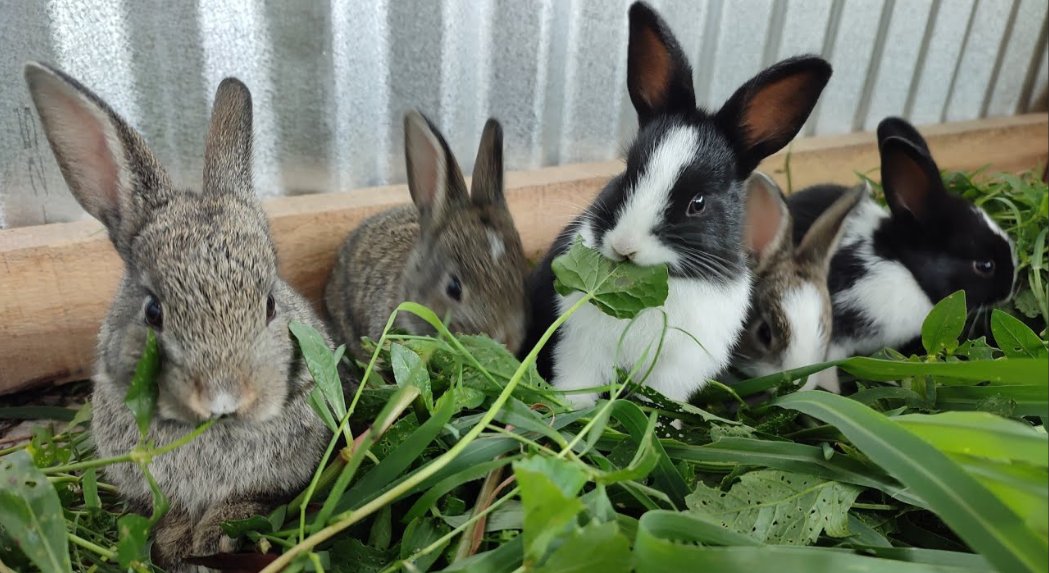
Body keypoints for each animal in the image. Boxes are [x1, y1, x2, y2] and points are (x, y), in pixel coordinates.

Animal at [24, 62, 332, 571]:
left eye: (269, 304)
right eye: (154, 311)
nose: (224, 395)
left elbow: (244, 501)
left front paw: (215, 538)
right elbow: (166, 514)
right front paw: (175, 543)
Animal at [521, 1, 833, 408]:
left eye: (697, 203)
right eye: (627, 172)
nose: (624, 246)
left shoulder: (679, 368)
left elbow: (660, 398)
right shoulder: (579, 348)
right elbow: (576, 385)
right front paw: (568, 412)